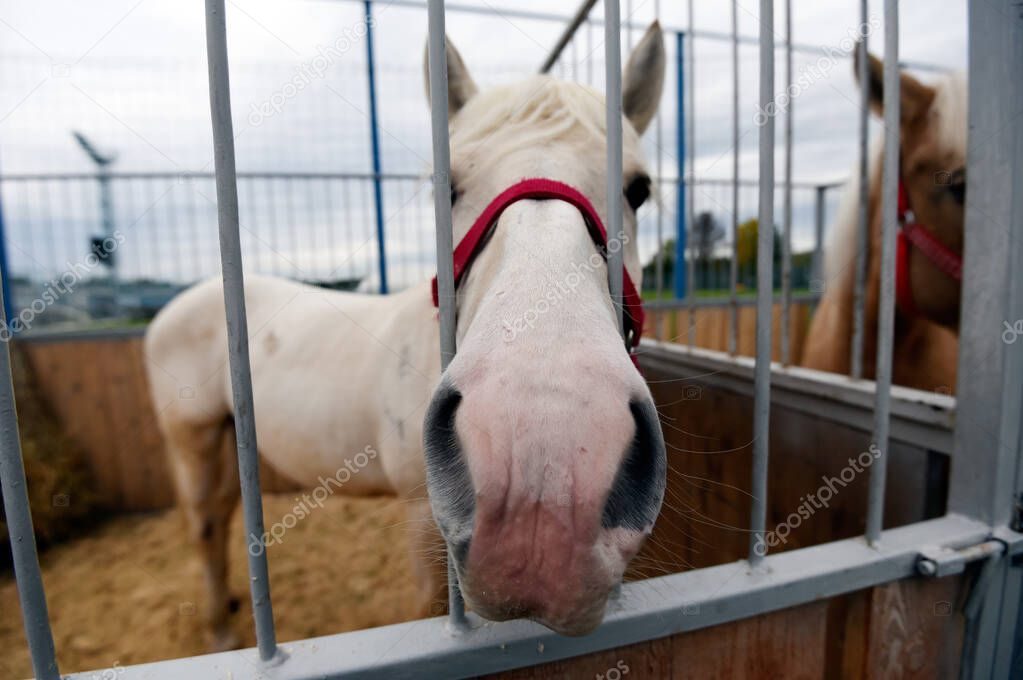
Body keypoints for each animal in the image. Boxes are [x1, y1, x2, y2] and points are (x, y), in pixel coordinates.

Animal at [146, 22, 671, 646]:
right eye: (446, 188)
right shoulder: (423, 515)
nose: (542, 463)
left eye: (638, 190)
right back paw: (222, 632)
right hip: (193, 439)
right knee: (205, 527)